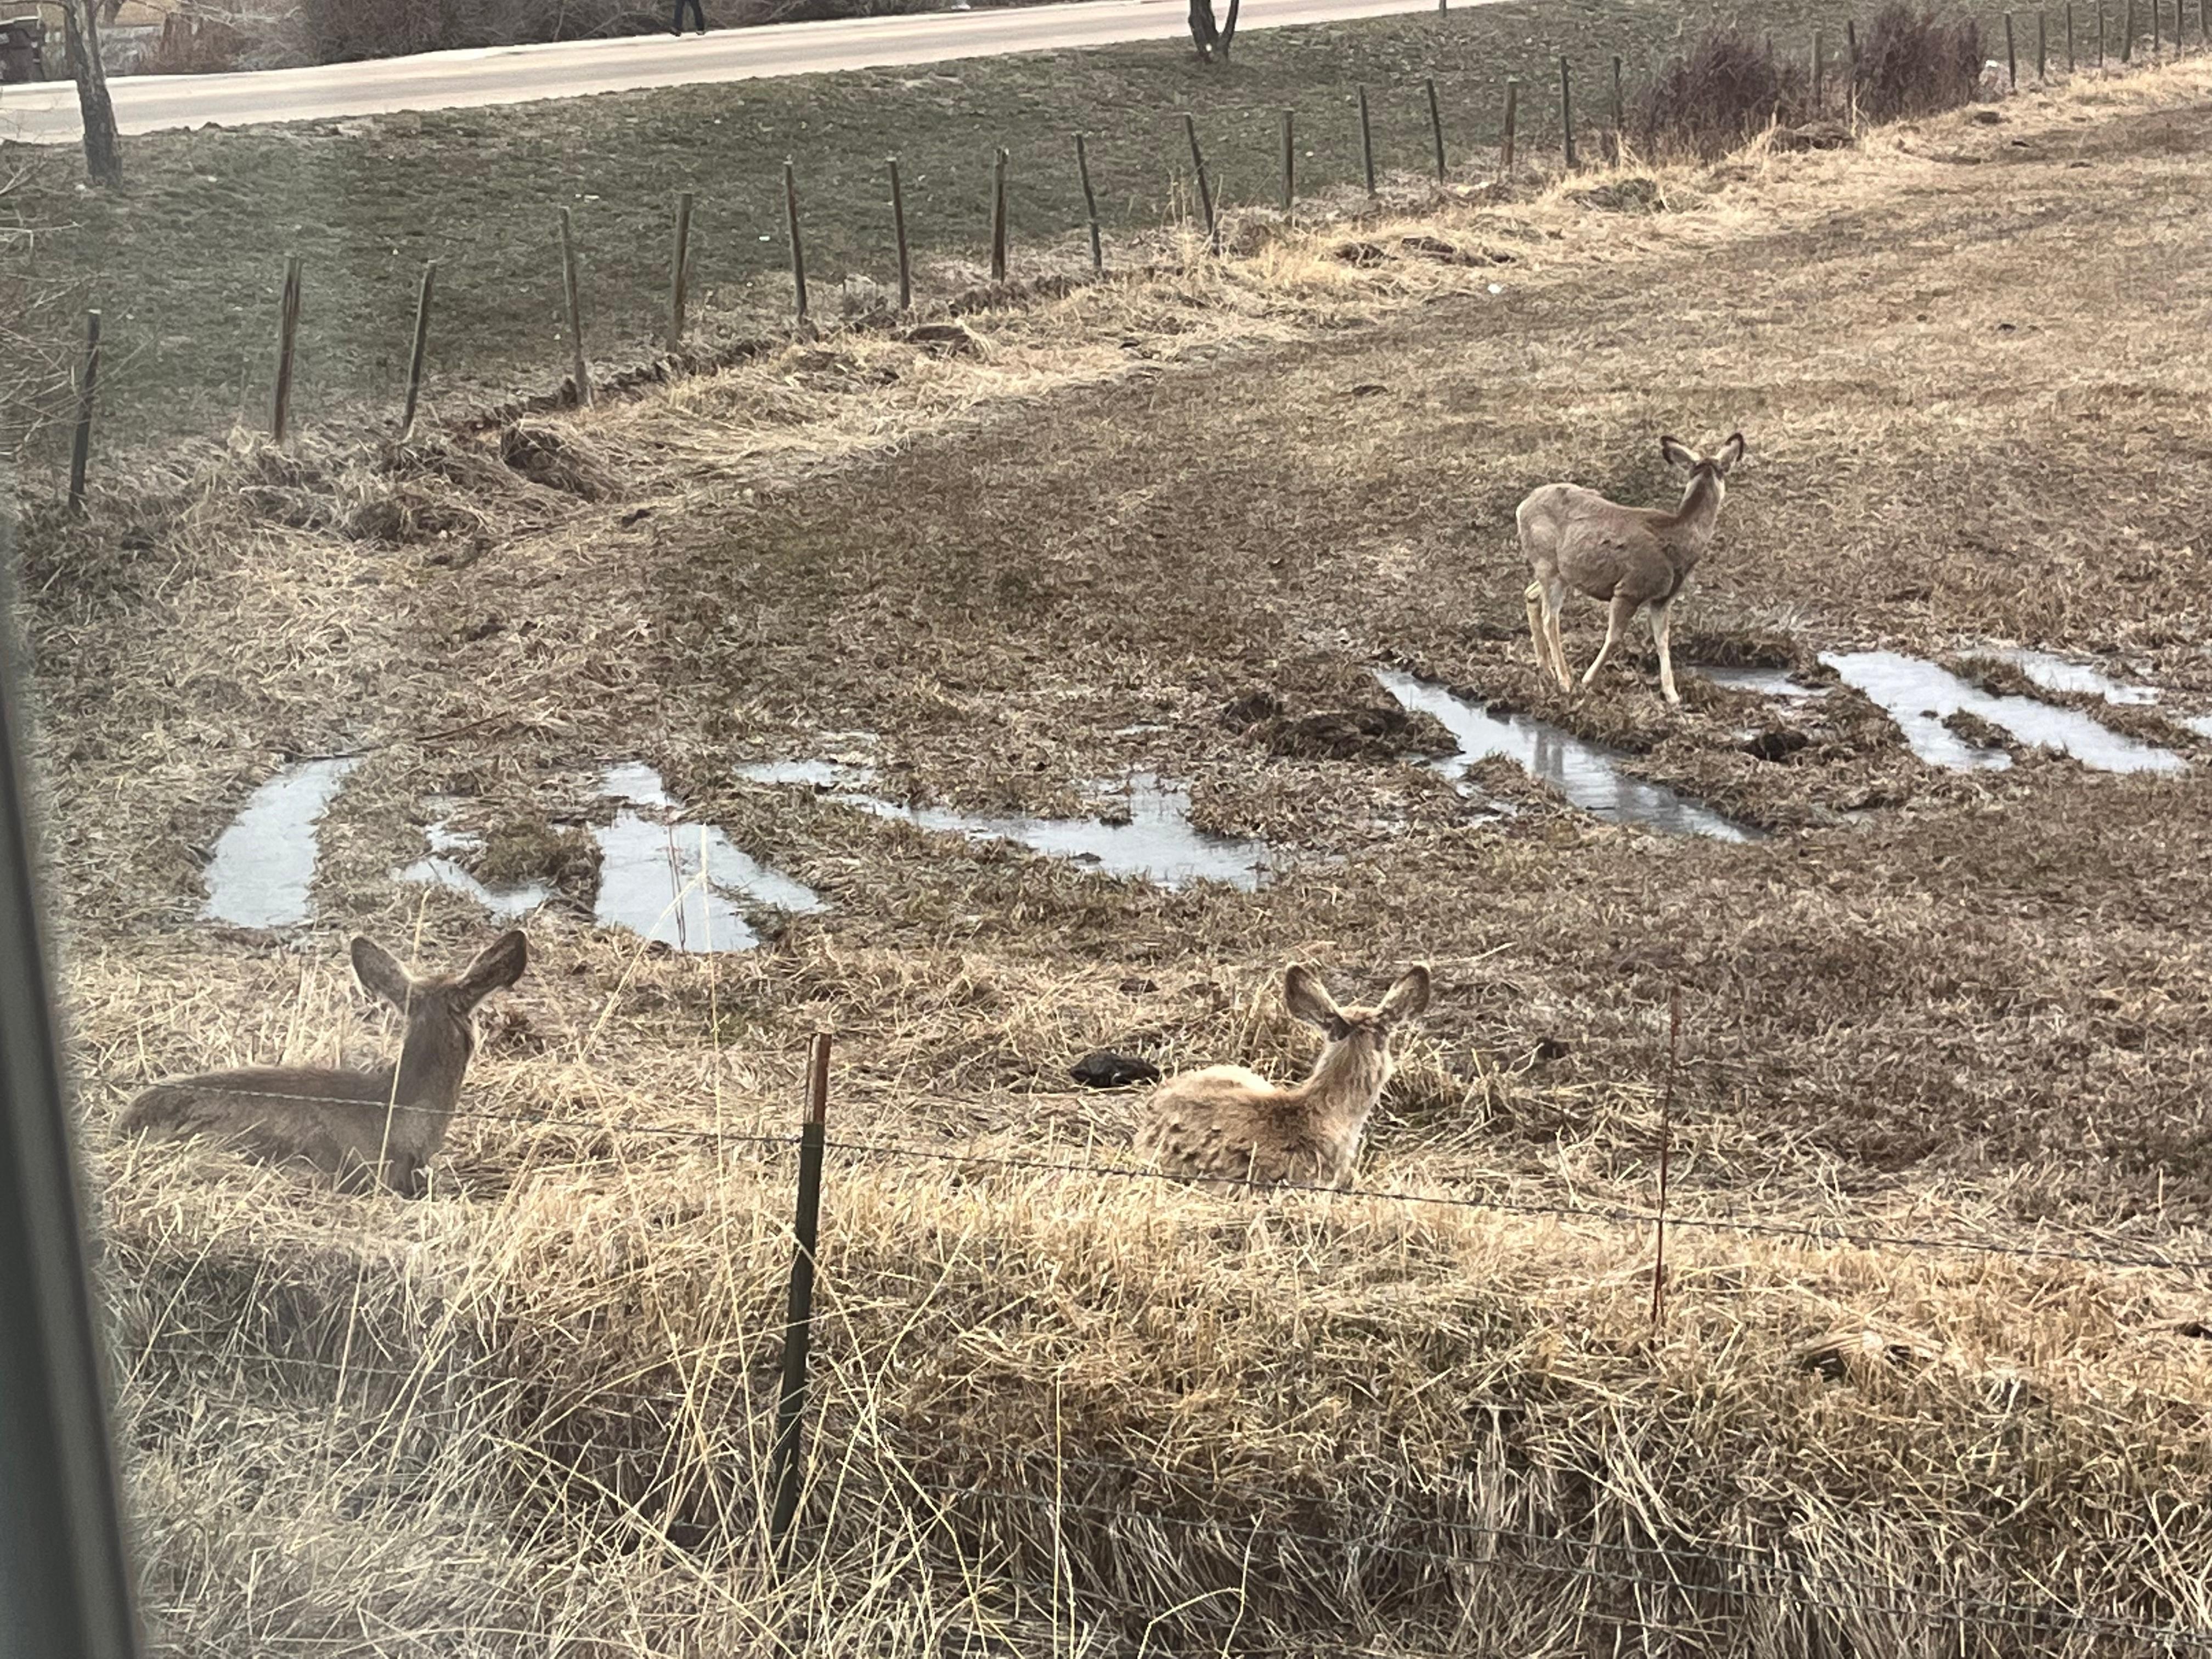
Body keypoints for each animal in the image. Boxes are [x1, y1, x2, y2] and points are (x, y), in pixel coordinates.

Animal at [1522, 431, 1743, 703]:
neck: (1676, 538)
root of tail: (1522, 505)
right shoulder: (1629, 588)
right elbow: (1615, 638)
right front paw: (1588, 680)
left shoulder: (1662, 599)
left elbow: (1663, 641)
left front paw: (1672, 695)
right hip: (1548, 564)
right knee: (1550, 618)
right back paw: (1565, 680)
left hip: (1558, 571)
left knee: (1531, 595)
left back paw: (1546, 670)